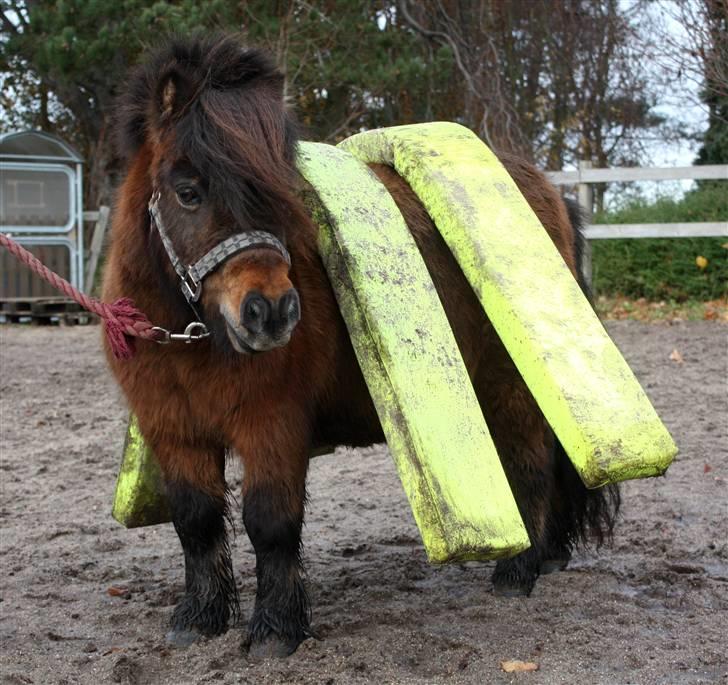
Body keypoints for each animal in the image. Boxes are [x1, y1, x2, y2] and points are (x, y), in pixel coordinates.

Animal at [102, 34, 616, 656]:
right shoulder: (173, 429)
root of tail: (547, 192)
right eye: (188, 192)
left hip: (510, 388)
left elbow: (270, 523)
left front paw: (275, 629)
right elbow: (195, 520)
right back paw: (546, 558)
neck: (193, 340)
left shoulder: (272, 425)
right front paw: (199, 617)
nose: (271, 311)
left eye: (280, 191)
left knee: (531, 467)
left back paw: (518, 571)